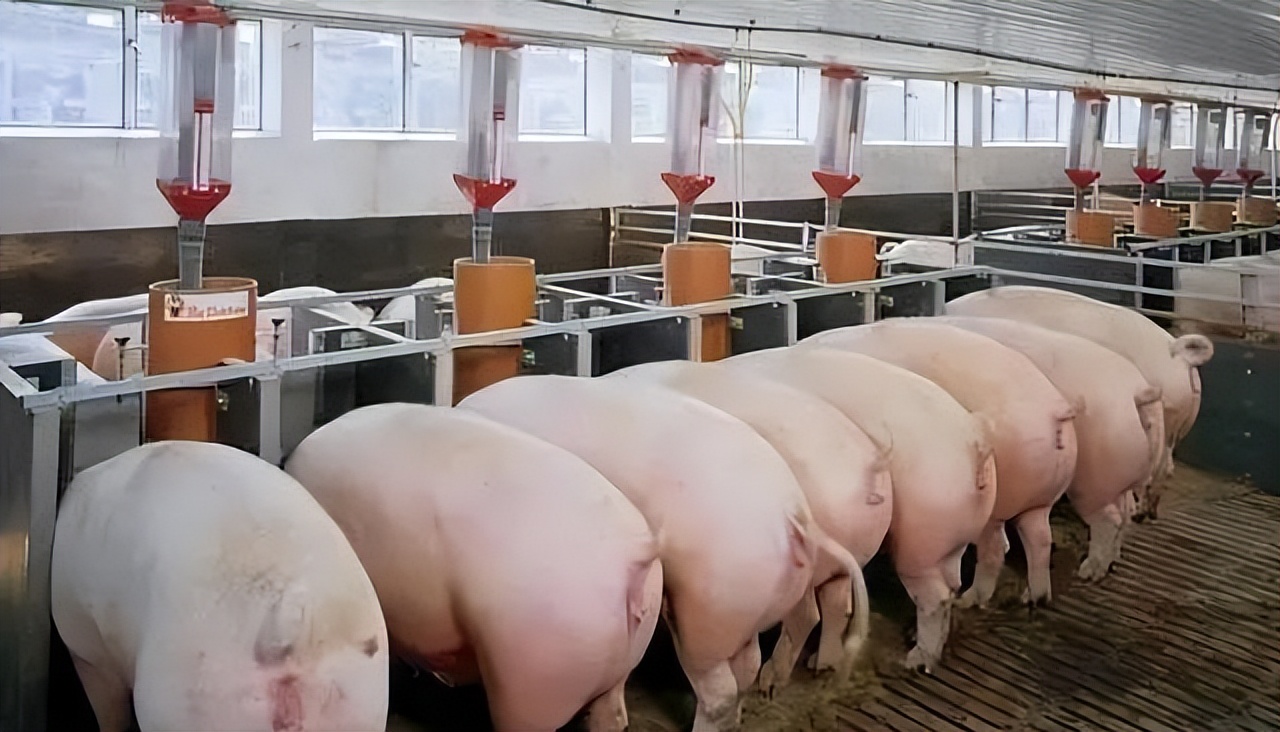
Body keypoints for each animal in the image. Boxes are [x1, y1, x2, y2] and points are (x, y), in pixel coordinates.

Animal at [607, 360, 887, 693]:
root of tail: (870, 467)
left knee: (806, 615)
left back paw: (771, 683)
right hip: (842, 560)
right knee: (835, 605)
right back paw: (820, 666)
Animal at [723, 347, 997, 673]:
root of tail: (976, 440)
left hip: (921, 543)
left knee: (935, 598)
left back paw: (914, 660)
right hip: (950, 538)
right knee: (948, 586)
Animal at [802, 320, 1078, 609]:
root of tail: (1055, 412)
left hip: (991, 507)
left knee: (991, 551)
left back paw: (971, 600)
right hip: (1036, 499)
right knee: (1039, 539)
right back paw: (1033, 599)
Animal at [932, 315, 1166, 581]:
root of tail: (1139, 392)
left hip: (1094, 481)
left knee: (1109, 520)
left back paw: (1088, 572)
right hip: (1121, 473)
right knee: (1125, 511)